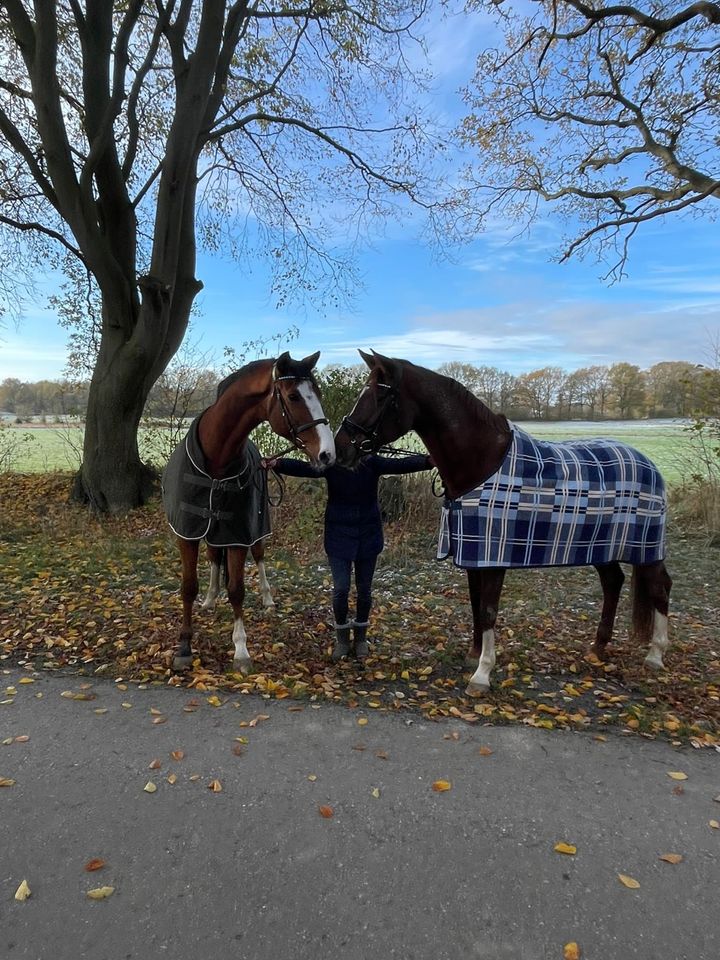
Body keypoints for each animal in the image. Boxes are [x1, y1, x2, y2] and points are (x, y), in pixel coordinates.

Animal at [160, 348, 334, 672]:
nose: (328, 454)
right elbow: (188, 586)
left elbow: (237, 590)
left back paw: (267, 599)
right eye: (293, 396)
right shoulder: (187, 533)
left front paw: (240, 649)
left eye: (316, 392)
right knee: (214, 557)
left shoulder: (239, 533)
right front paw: (184, 646)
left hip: (256, 529)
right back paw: (210, 599)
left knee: (260, 556)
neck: (216, 458)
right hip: (213, 533)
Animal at [334, 348, 672, 692]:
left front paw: (482, 674)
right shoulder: (472, 555)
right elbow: (475, 603)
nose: (340, 448)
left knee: (660, 588)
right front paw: (474, 655)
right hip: (602, 546)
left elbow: (488, 610)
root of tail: (647, 463)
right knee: (613, 582)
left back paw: (655, 656)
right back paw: (598, 647)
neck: (482, 460)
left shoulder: (493, 556)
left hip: (646, 547)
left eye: (379, 396)